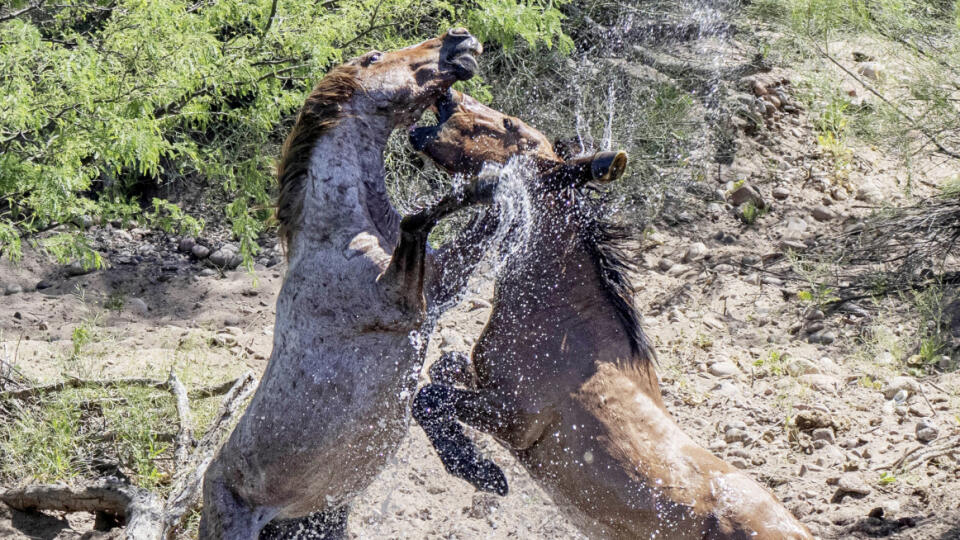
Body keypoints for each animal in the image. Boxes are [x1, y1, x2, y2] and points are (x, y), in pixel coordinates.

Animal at [200, 31, 492, 536]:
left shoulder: (439, 287)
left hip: (322, 518)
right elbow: (419, 220)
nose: (460, 40)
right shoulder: (401, 303)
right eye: (375, 57)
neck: (338, 230)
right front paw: (478, 185)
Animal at [408, 92, 812, 540]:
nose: (447, 97)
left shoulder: (513, 418)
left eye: (510, 124)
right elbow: (442, 370)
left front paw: (481, 472)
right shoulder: (486, 384)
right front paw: (473, 463)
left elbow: (430, 398)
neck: (562, 322)